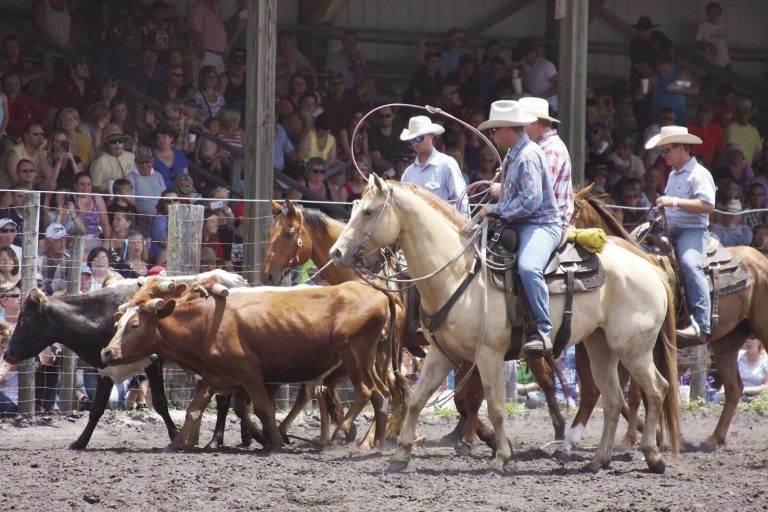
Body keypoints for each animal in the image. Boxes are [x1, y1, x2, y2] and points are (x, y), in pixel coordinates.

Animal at [101, 280, 396, 452]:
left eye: (134, 325)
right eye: (118, 323)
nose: (107, 352)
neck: (206, 323)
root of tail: (377, 293)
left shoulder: (251, 374)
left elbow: (263, 408)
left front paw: (274, 442)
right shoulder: (210, 377)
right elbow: (194, 411)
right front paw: (174, 444)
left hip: (354, 354)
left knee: (366, 392)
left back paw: (341, 433)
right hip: (367, 359)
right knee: (382, 396)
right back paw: (376, 444)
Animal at [260, 200, 568, 452]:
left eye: (289, 234)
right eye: (269, 233)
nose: (269, 275)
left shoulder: (384, 349)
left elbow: (388, 389)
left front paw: (372, 436)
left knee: (541, 380)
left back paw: (555, 432)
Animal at [330, 175, 680, 472]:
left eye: (368, 212)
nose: (337, 252)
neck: (459, 272)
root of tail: (650, 265)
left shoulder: (488, 355)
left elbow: (495, 406)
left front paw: (500, 457)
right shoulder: (442, 354)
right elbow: (417, 400)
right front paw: (401, 455)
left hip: (633, 349)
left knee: (656, 390)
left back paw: (651, 455)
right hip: (600, 346)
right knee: (612, 399)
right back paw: (598, 460)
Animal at [572, 190, 768, 450]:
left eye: (571, 212)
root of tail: (759, 259)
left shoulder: (642, 346)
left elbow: (635, 395)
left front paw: (630, 441)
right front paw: (646, 438)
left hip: (762, 328)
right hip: (727, 341)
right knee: (734, 388)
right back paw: (714, 439)